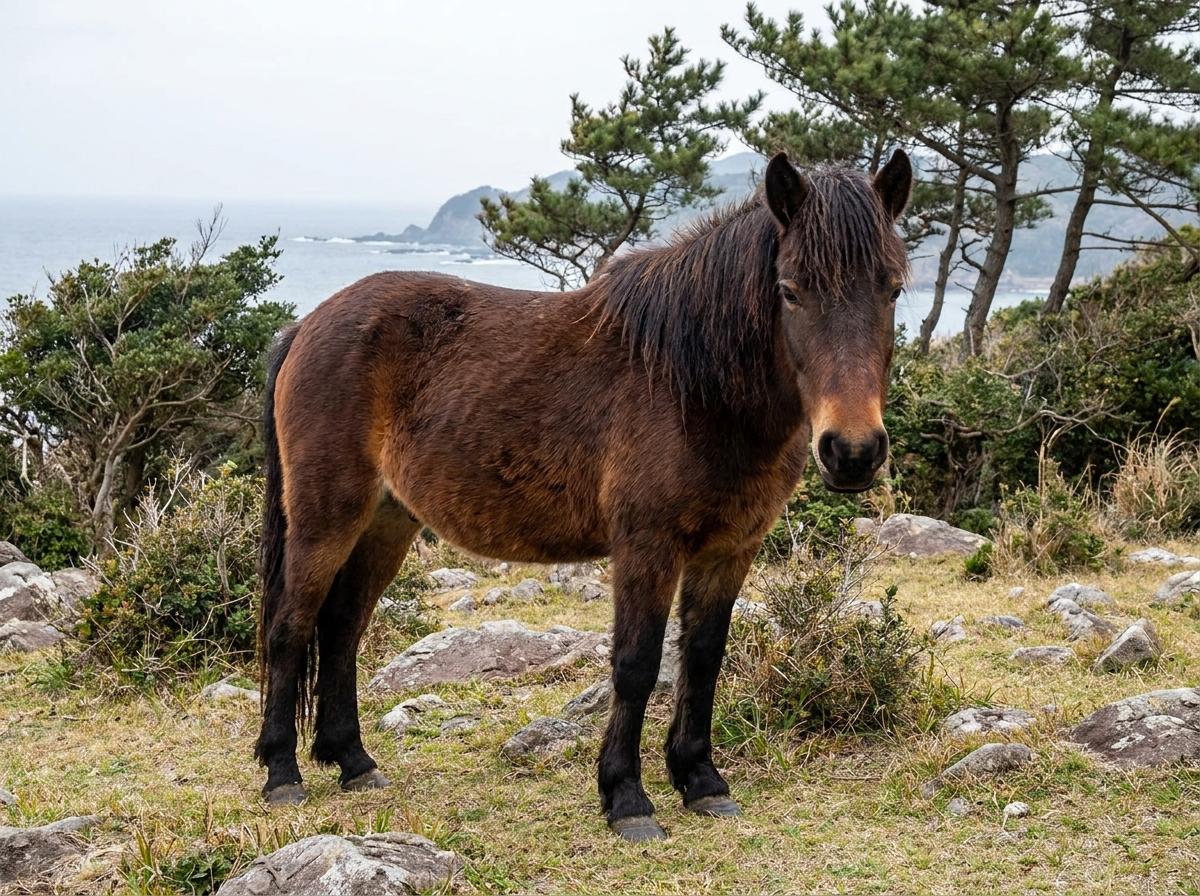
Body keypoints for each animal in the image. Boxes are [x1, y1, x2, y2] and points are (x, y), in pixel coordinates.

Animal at [255, 150, 912, 842]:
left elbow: (704, 656)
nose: (853, 451)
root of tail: (306, 325)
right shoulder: (647, 546)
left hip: (387, 521)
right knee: (290, 626)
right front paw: (627, 797)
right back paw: (282, 773)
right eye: (790, 290)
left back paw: (353, 760)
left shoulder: (730, 549)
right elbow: (637, 663)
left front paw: (701, 781)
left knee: (342, 626)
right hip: (326, 517)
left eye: (893, 288)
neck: (691, 383)